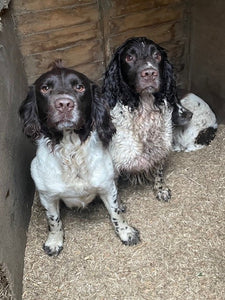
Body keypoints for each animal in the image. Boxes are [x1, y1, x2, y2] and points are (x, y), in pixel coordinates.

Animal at [19, 60, 140, 255]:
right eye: (45, 88)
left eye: (79, 87)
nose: (64, 104)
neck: (71, 151)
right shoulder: (47, 196)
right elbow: (54, 220)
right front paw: (54, 241)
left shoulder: (107, 186)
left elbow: (115, 213)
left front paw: (126, 232)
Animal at [102, 37, 188, 202]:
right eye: (129, 57)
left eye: (157, 56)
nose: (149, 73)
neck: (144, 107)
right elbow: (113, 186)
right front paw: (118, 203)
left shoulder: (160, 147)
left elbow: (158, 171)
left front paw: (160, 189)